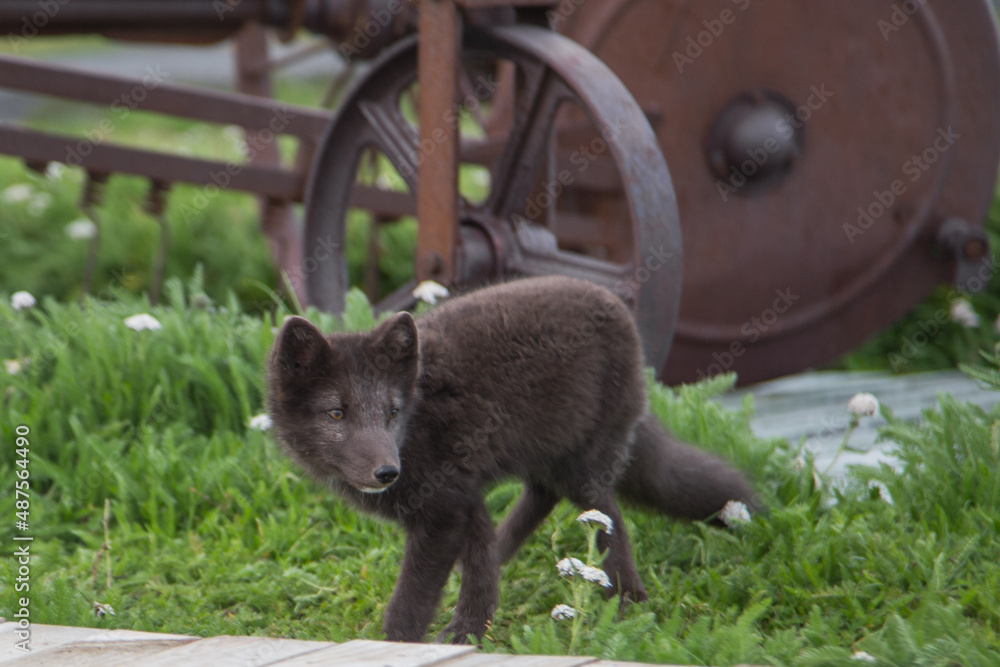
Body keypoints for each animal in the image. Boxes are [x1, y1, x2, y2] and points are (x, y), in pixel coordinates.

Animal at [267, 275, 756, 643]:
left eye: (391, 412)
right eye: (336, 413)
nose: (387, 473)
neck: (417, 424)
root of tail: (615, 303)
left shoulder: (445, 510)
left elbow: (411, 603)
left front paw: (410, 644)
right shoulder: (464, 499)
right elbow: (479, 563)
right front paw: (470, 628)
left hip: (586, 472)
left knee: (608, 522)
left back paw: (628, 603)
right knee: (541, 497)